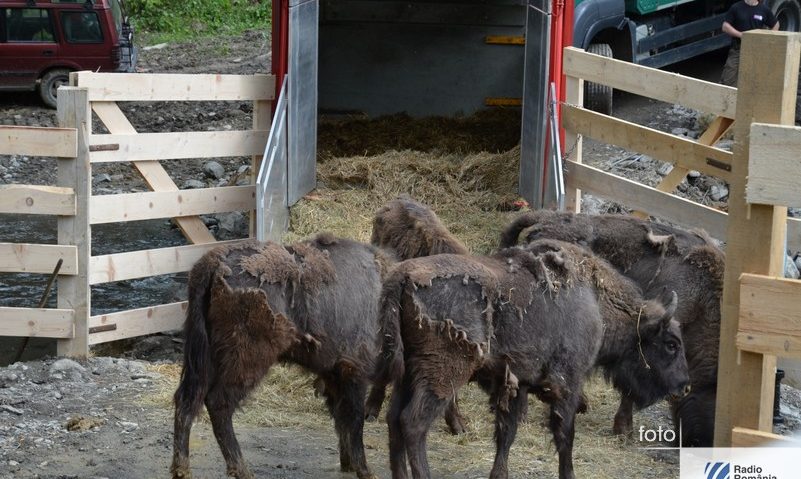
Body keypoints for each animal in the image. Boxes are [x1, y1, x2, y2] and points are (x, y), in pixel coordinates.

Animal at [170, 236, 392, 479]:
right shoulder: (353, 371)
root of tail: (211, 263)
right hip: (247, 361)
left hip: (204, 358)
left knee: (186, 401)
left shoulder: (334, 375)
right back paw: (242, 470)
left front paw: (348, 464)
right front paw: (365, 471)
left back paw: (182, 470)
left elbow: (342, 420)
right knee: (218, 403)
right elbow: (355, 421)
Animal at [376, 240, 688, 479]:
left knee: (394, 420)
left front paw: (499, 474)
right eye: (671, 344)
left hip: (408, 373)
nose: (684, 386)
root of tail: (402, 277)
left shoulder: (518, 384)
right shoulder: (567, 384)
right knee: (413, 424)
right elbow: (565, 437)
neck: (596, 303)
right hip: (442, 376)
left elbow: (506, 434)